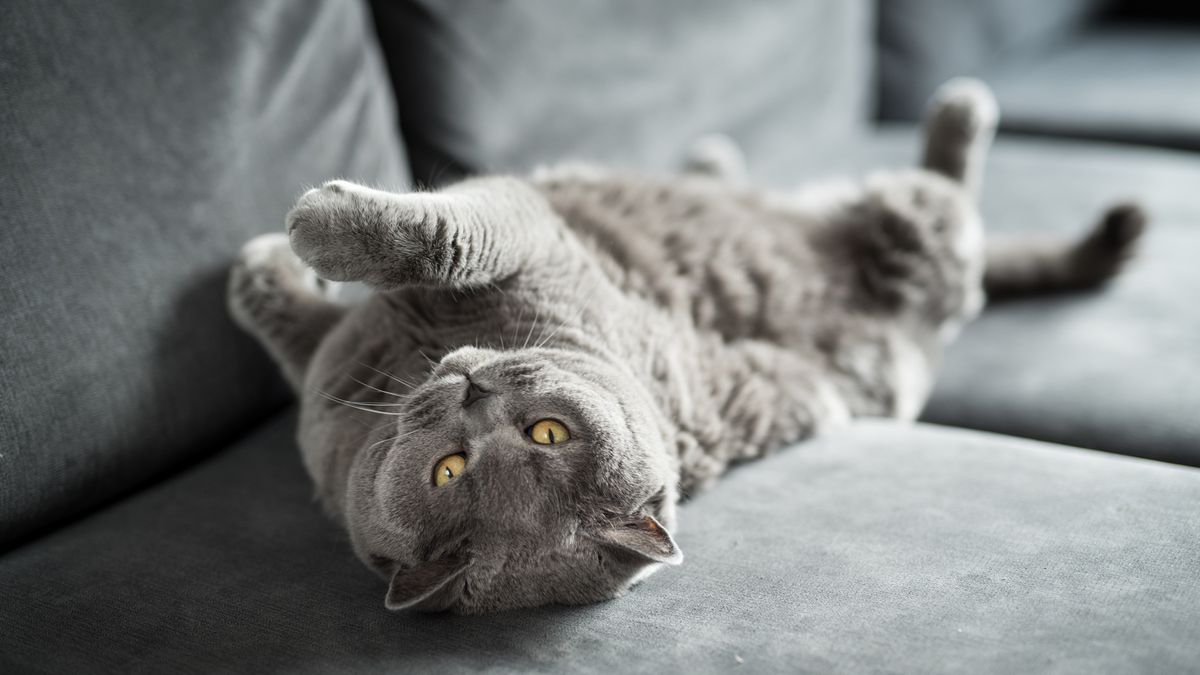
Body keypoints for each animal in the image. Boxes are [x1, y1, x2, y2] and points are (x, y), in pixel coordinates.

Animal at [226, 77, 1142, 610]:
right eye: (451, 470)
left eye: (546, 433)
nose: (473, 394)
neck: (405, 359)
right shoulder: (333, 371)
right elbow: (285, 312)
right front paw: (263, 266)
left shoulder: (534, 240)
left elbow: (445, 233)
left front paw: (301, 231)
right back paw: (714, 157)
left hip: (919, 228)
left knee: (951, 194)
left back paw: (960, 107)